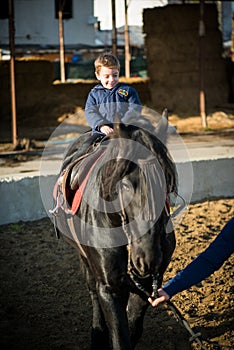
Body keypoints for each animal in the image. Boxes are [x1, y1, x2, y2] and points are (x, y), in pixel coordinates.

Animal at [51, 110, 177, 348]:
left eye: (166, 181)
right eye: (125, 185)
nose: (147, 259)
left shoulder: (146, 284)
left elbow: (133, 327)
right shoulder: (110, 287)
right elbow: (120, 335)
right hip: (84, 259)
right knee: (92, 291)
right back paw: (97, 333)